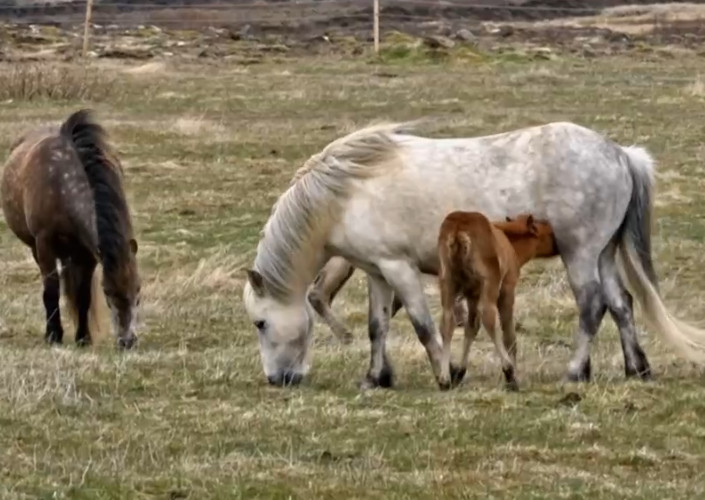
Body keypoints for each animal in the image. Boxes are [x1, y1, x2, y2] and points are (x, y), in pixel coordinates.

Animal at [1, 109, 142, 348]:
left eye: (138, 289)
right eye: (107, 292)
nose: (127, 341)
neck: (61, 184)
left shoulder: (87, 255)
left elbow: (83, 295)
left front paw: (83, 337)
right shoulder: (44, 244)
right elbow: (51, 291)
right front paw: (53, 335)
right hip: (38, 249)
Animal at [434, 211, 556, 390]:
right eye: (549, 232)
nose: (559, 245)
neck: (509, 240)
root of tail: (458, 229)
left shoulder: (472, 294)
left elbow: (471, 328)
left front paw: (460, 372)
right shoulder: (507, 289)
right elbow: (509, 334)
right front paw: (513, 374)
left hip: (447, 283)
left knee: (447, 322)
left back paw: (444, 378)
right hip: (489, 284)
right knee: (489, 318)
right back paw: (509, 372)